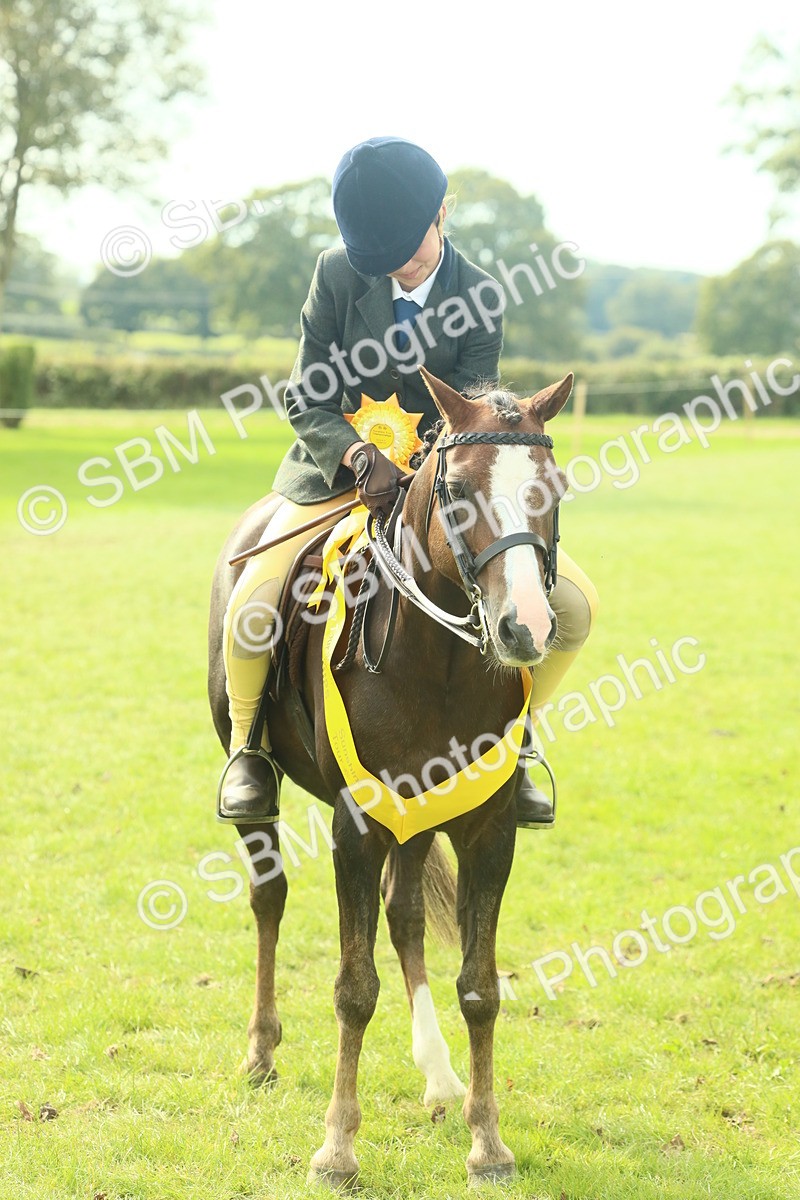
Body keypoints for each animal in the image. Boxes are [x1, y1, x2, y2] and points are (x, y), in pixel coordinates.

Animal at [207, 366, 573, 1188]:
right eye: (457, 488)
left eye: (555, 487)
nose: (526, 628)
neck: (440, 663)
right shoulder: (358, 824)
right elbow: (353, 989)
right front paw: (337, 1149)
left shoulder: (486, 829)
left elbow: (479, 986)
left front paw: (487, 1143)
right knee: (269, 897)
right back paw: (261, 1049)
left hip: (420, 817)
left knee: (403, 915)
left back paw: (439, 1078)